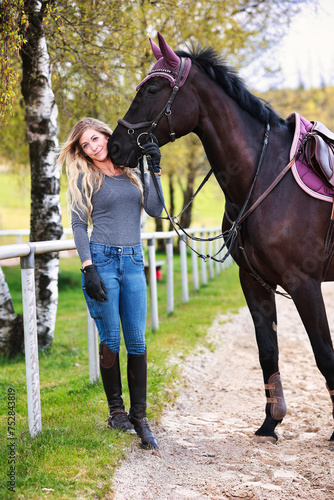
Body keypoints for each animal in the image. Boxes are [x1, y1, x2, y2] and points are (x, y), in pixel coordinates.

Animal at [109, 32, 334, 446]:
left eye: (152, 89)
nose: (116, 146)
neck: (264, 174)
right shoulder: (255, 281)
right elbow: (268, 351)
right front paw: (270, 423)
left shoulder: (304, 283)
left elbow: (324, 353)